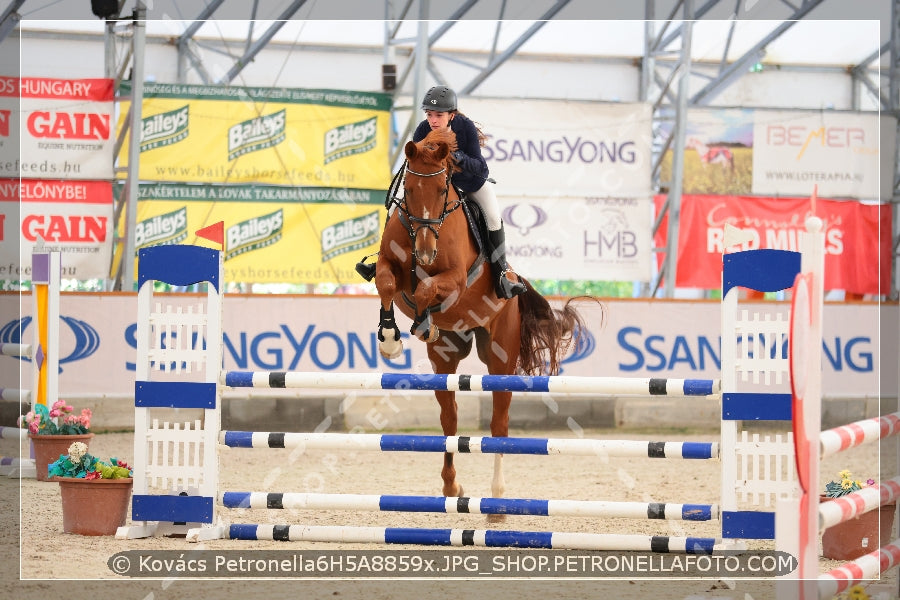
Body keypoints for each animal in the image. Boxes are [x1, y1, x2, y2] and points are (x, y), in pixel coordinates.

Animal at [374, 127, 604, 510]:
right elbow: (388, 283)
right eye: (410, 189)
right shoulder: (390, 266)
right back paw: (451, 486)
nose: (425, 252)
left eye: (442, 190)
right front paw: (390, 340)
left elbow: (426, 290)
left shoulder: (454, 280)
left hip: (500, 355)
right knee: (449, 422)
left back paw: (497, 498)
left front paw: (422, 323)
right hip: (446, 360)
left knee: (499, 424)